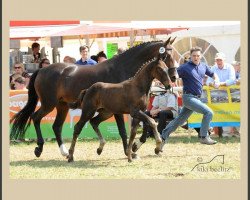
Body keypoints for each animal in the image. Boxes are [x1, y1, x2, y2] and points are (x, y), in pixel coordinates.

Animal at [10, 36, 178, 159]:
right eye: (166, 55)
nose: (174, 78)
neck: (123, 68)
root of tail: (41, 70)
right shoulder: (120, 110)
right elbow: (124, 131)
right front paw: (129, 151)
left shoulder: (132, 110)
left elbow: (144, 125)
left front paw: (136, 146)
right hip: (48, 104)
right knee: (36, 117)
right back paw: (39, 148)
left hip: (62, 106)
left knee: (56, 126)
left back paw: (65, 152)